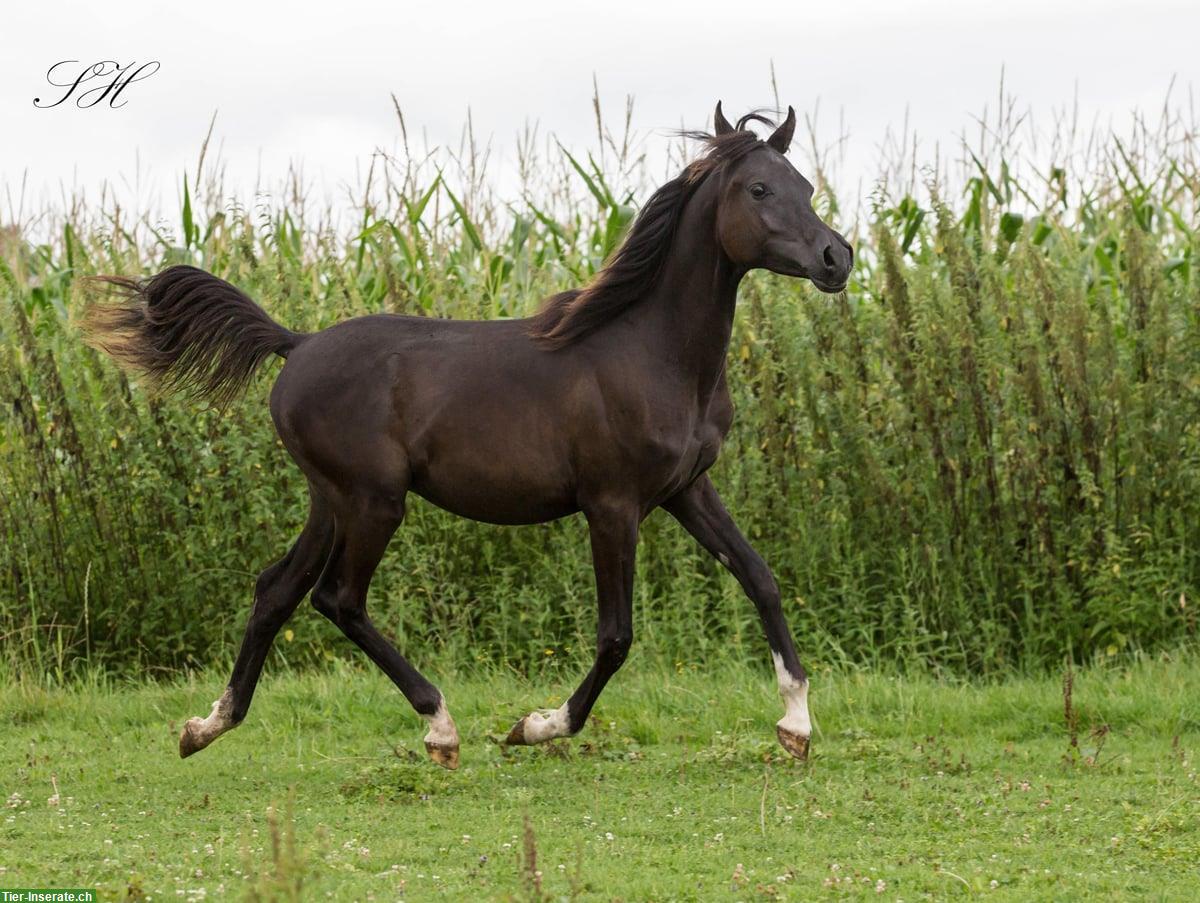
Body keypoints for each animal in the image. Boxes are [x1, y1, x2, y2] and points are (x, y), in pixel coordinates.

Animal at [84, 105, 854, 768]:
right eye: (758, 188)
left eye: (806, 186)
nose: (836, 258)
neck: (651, 352)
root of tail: (294, 344)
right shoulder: (612, 505)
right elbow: (616, 635)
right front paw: (535, 726)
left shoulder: (686, 489)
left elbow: (760, 577)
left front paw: (796, 724)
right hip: (374, 500)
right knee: (338, 599)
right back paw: (440, 726)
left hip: (331, 499)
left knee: (277, 589)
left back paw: (205, 726)